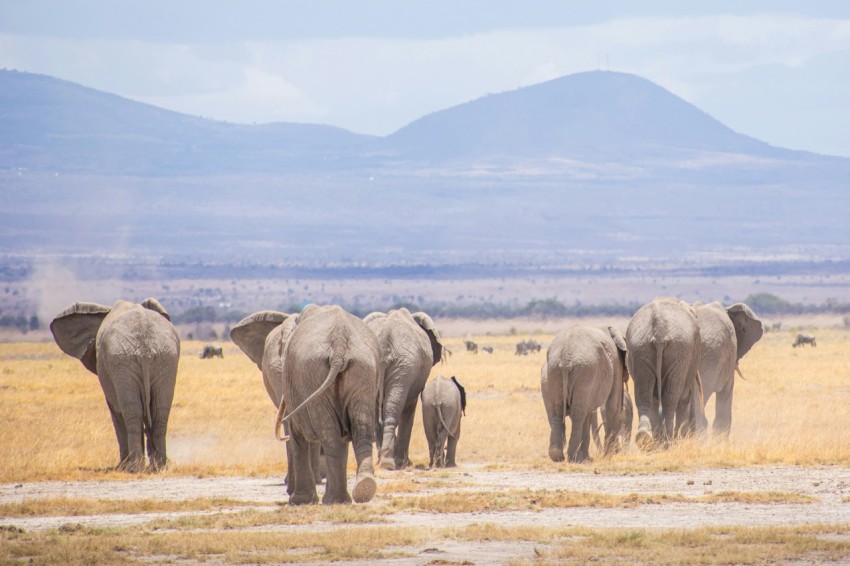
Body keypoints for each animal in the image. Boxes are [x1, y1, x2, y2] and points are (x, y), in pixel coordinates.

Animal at [50, 298, 180, 472]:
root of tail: (145, 349)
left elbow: (115, 411)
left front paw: (122, 466)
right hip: (166, 359)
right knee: (159, 411)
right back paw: (159, 466)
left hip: (122, 362)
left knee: (131, 411)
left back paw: (134, 467)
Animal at [273, 304, 381, 505]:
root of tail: (339, 344)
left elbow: (297, 435)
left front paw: (300, 502)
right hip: (364, 370)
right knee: (361, 430)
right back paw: (362, 490)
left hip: (313, 376)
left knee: (330, 435)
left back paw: (334, 499)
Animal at [363, 308, 443, 470]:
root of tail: (384, 341)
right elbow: (409, 411)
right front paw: (405, 462)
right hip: (405, 367)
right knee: (394, 409)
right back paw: (390, 463)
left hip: (387, 366)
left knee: (377, 414)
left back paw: (382, 461)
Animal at [541, 325, 629, 463]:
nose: (617, 450)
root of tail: (565, 360)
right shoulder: (615, 364)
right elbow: (613, 406)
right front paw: (609, 455)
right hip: (586, 373)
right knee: (578, 415)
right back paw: (574, 458)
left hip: (554, 372)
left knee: (558, 413)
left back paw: (558, 455)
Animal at [626, 298, 705, 450]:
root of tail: (659, 329)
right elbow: (684, 396)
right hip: (679, 352)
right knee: (671, 397)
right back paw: (669, 443)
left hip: (640, 349)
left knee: (645, 396)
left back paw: (645, 439)